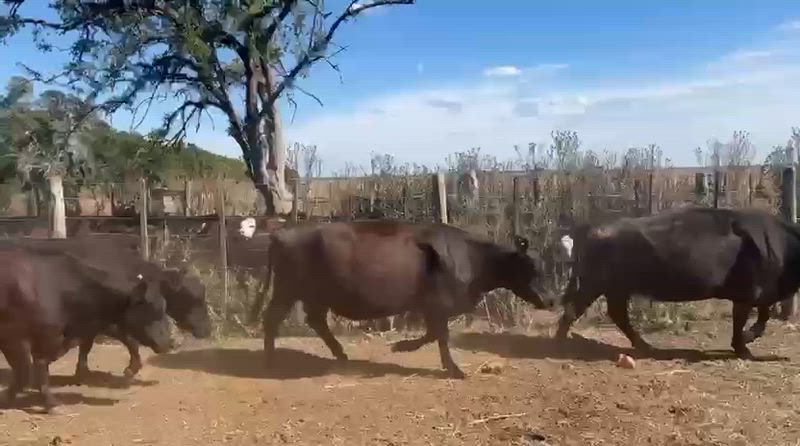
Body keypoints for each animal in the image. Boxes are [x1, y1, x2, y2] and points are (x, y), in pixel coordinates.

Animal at [9, 237, 212, 382]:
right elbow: (129, 341)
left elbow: (87, 345)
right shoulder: (107, 323)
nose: (208, 329)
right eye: (195, 299)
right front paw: (131, 369)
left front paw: (83, 371)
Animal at [247, 219, 553, 378]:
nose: (551, 300)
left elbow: (434, 334)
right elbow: (440, 336)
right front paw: (451, 368)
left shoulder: (431, 307)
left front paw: (403, 347)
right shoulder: (438, 305)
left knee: (316, 320)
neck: (471, 259)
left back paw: (341, 355)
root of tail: (282, 232)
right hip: (287, 290)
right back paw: (270, 362)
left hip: (314, 295)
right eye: (531, 268)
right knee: (272, 320)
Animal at [555, 205, 800, 360]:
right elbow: (743, 322)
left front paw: (746, 342)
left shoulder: (758, 296)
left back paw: (646, 346)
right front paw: (743, 347)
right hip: (594, 284)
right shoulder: (747, 295)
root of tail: (590, 228)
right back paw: (559, 344)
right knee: (574, 309)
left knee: (615, 314)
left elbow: (762, 316)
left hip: (614, 289)